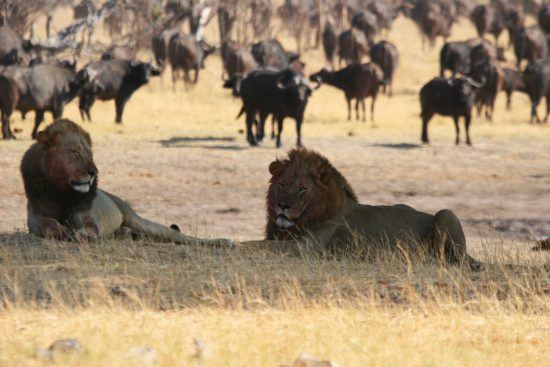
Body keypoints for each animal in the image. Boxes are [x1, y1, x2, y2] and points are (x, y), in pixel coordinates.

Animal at [20, 119, 233, 249]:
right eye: (76, 152)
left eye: (90, 154)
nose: (93, 173)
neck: (63, 190)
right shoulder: (36, 215)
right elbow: (48, 224)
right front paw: (63, 230)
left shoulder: (86, 214)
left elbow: (90, 226)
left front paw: (85, 235)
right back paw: (125, 234)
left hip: (138, 220)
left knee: (179, 236)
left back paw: (224, 242)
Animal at [239, 149, 480, 270]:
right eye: (281, 184)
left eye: (302, 189)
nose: (283, 206)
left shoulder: (307, 248)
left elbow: (253, 245)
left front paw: (231, 245)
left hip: (446, 214)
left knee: (448, 260)